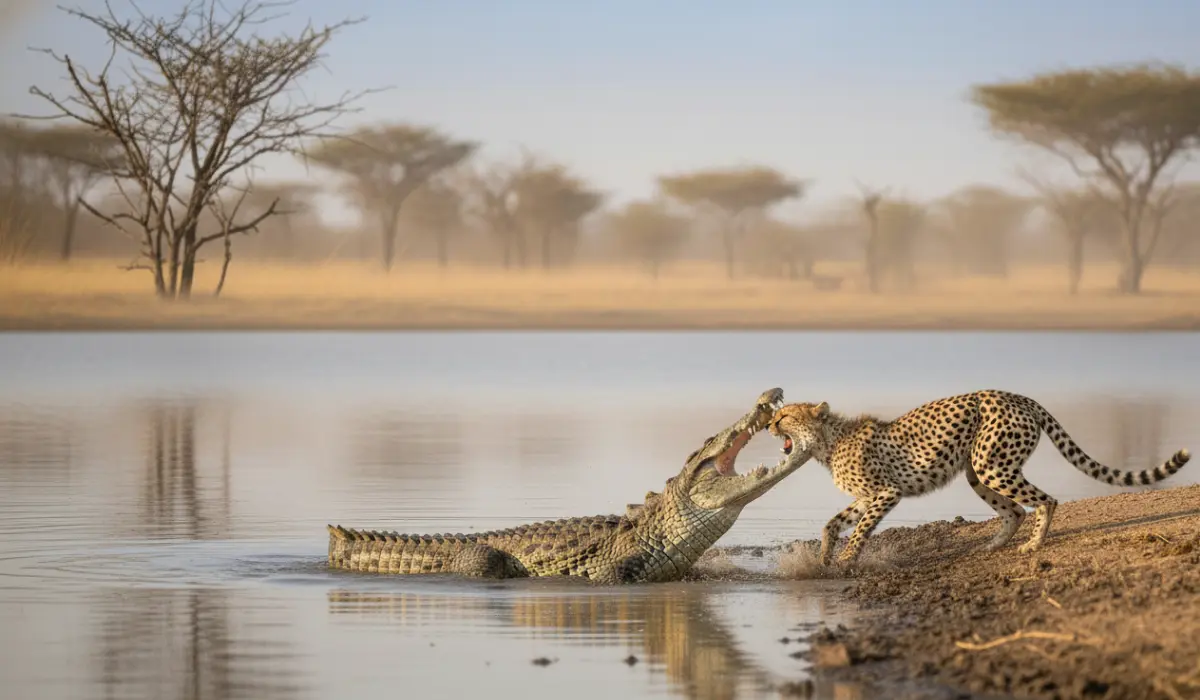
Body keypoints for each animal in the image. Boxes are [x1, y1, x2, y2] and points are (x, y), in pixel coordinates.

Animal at [767, 389, 1191, 566]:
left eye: (785, 415)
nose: (769, 424)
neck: (827, 442)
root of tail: (1016, 396)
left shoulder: (886, 493)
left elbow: (859, 530)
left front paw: (847, 559)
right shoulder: (866, 497)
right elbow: (832, 522)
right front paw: (825, 554)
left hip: (992, 465)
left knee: (1046, 500)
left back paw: (1034, 545)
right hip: (979, 471)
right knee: (1015, 510)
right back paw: (993, 545)